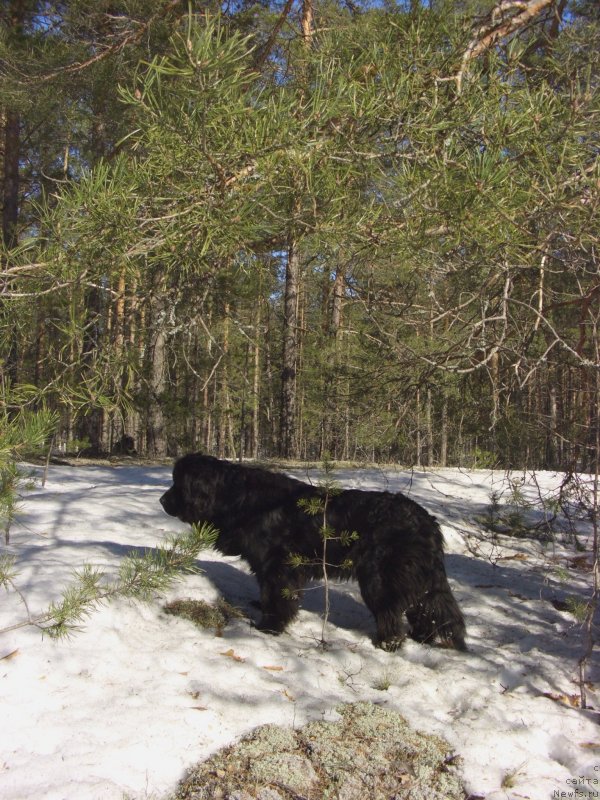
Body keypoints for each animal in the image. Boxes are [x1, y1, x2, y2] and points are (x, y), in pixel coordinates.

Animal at [158, 456, 464, 648]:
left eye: (178, 484)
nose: (161, 500)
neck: (237, 498)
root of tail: (427, 522)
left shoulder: (280, 566)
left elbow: (277, 596)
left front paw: (270, 627)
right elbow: (267, 593)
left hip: (380, 577)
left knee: (390, 611)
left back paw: (387, 643)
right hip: (419, 578)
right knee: (426, 608)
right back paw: (421, 638)